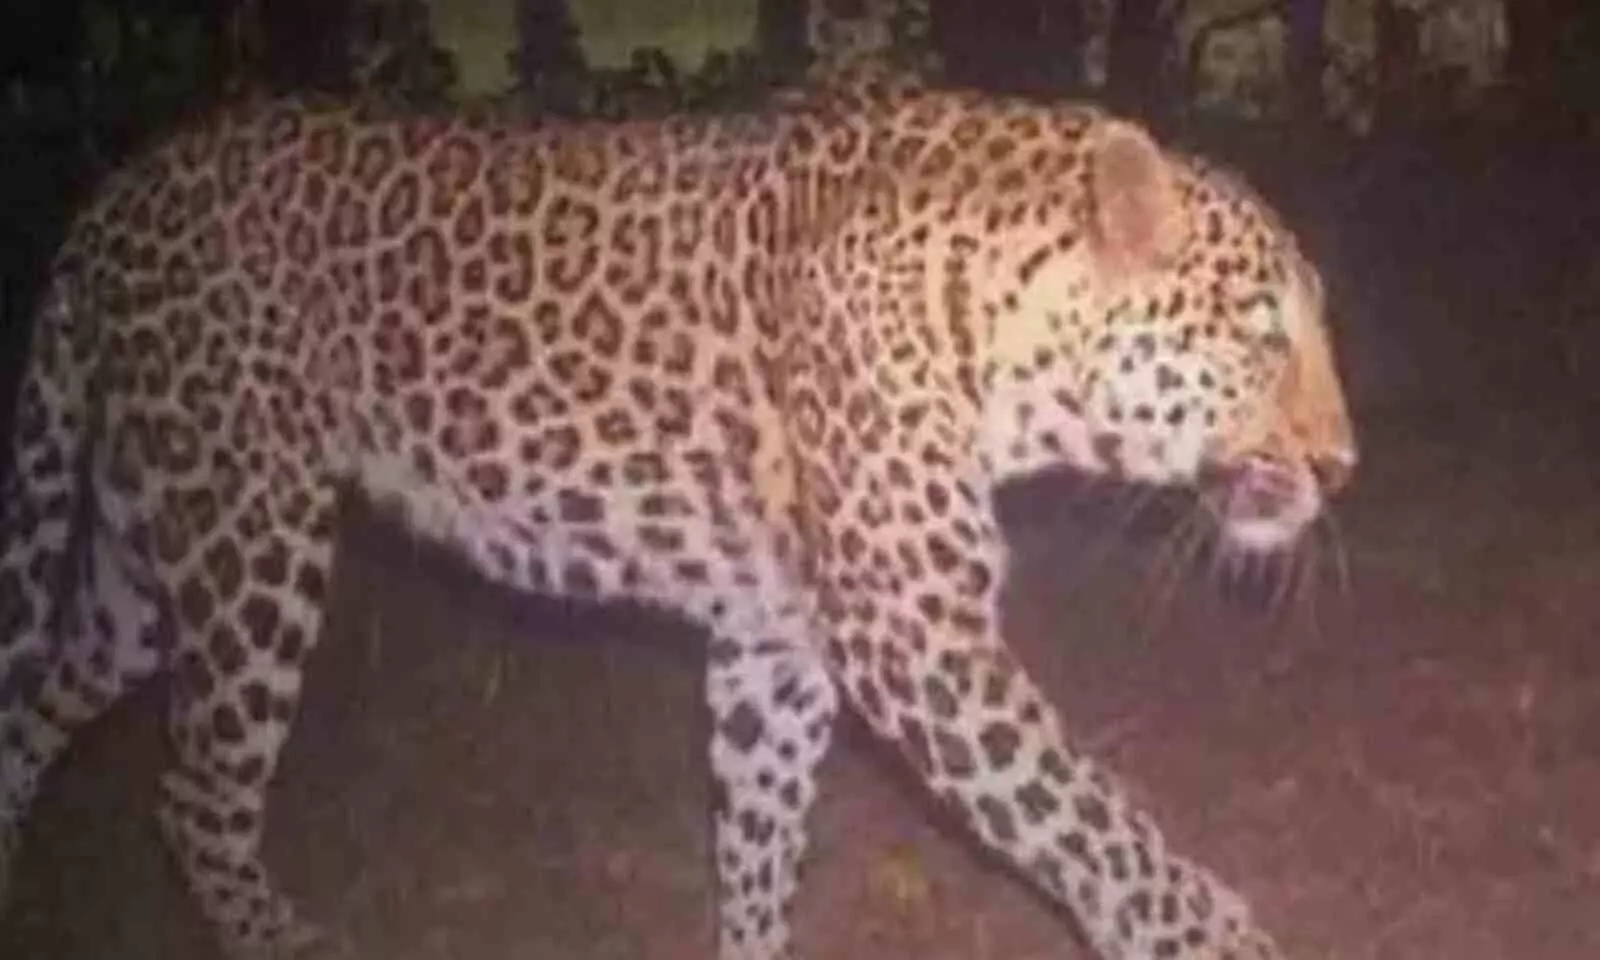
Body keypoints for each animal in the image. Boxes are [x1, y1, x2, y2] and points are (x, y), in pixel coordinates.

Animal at [0, 76, 1350, 960]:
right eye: (1261, 334)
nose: (1341, 466)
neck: (1004, 328)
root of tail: (109, 199)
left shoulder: (774, 642)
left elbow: (757, 844)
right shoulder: (915, 637)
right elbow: (1090, 820)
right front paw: (1207, 935)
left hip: (146, 549)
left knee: (35, 700)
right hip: (251, 533)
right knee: (196, 800)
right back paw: (285, 936)